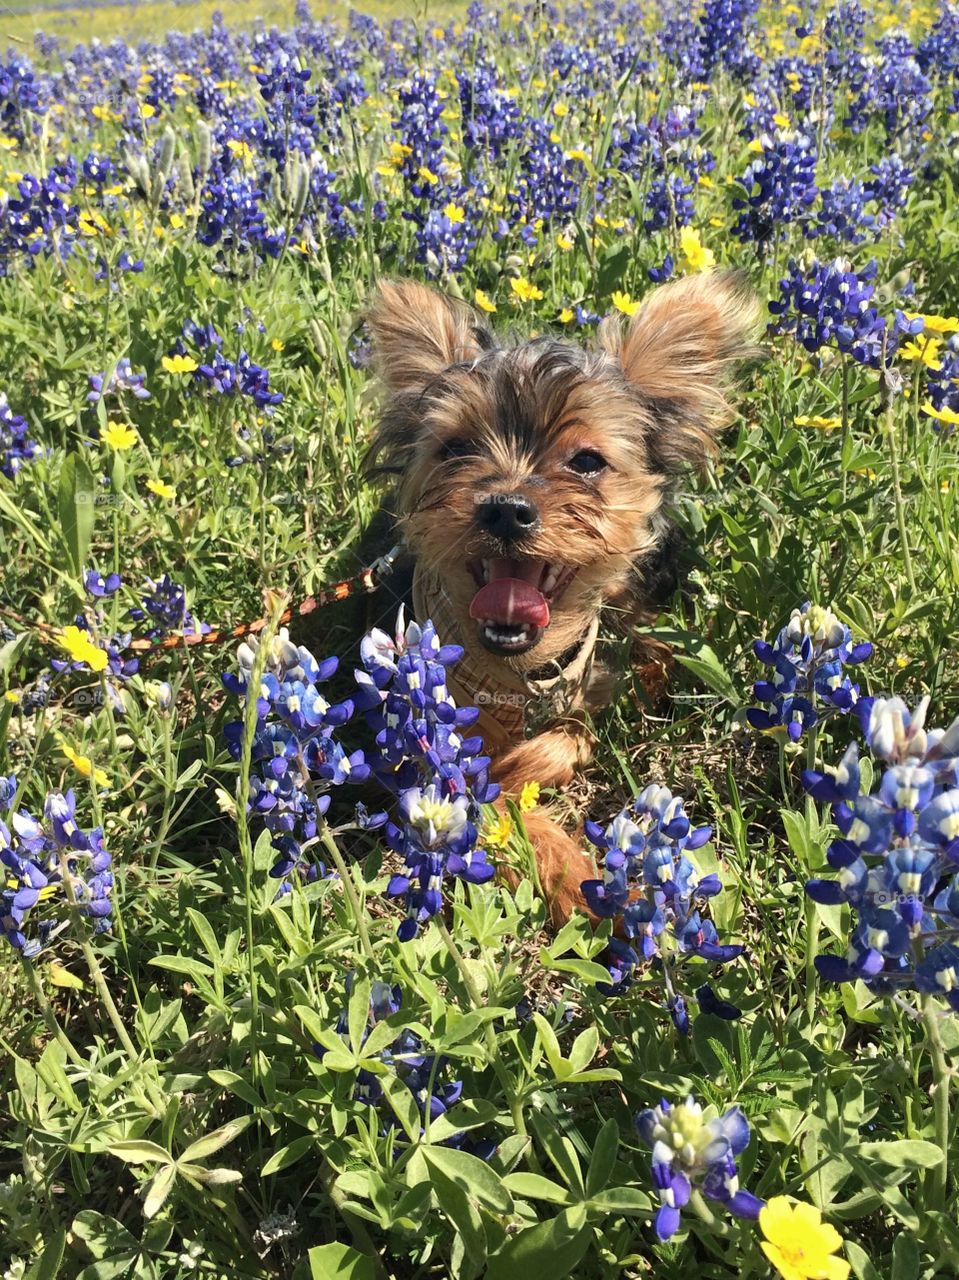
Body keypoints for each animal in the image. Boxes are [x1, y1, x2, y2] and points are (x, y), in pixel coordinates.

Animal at [358, 275, 757, 926]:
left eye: (588, 461)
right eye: (455, 449)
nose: (505, 508)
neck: (519, 672)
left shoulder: (583, 683)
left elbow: (573, 734)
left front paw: (528, 769)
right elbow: (493, 804)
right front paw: (579, 879)